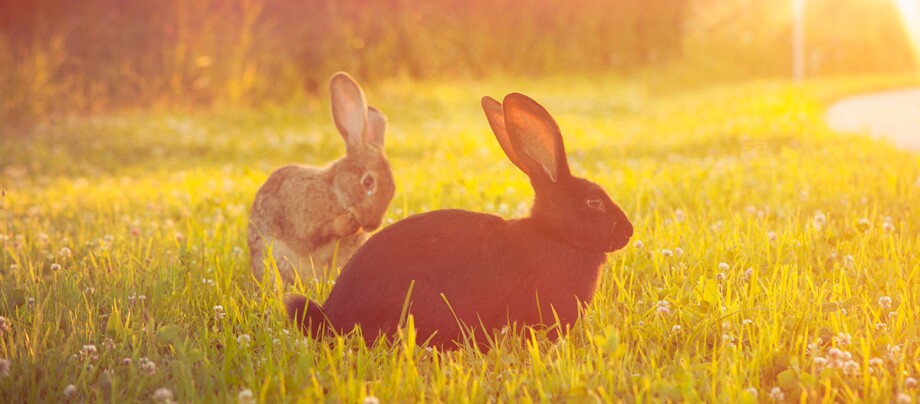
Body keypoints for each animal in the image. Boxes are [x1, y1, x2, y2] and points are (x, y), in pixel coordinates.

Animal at [248, 71, 396, 282]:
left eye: (393, 189)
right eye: (368, 182)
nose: (371, 225)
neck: (335, 191)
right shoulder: (304, 220)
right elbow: (317, 234)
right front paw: (349, 223)